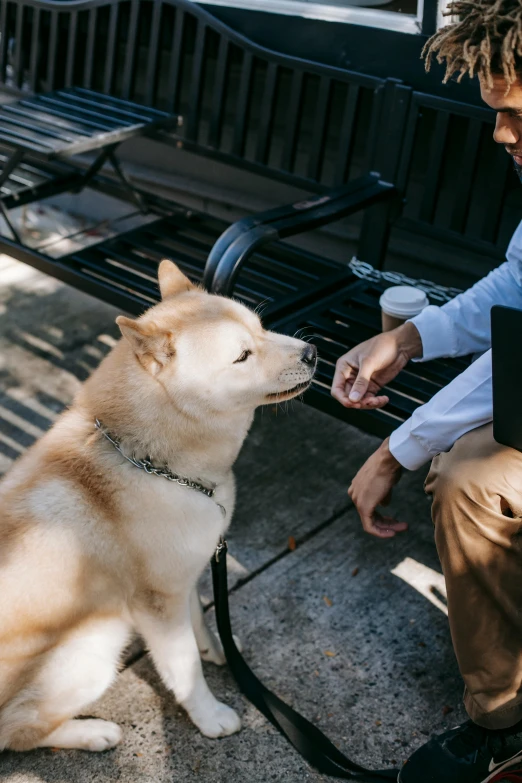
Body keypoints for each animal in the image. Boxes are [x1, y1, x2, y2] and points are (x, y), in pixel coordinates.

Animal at [0, 262, 316, 752]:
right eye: (242, 356)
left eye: (262, 328)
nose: (313, 352)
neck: (154, 463)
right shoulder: (156, 602)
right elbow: (183, 670)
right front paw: (210, 716)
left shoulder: (184, 575)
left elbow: (200, 620)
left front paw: (219, 650)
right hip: (96, 647)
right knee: (17, 732)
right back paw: (93, 732)